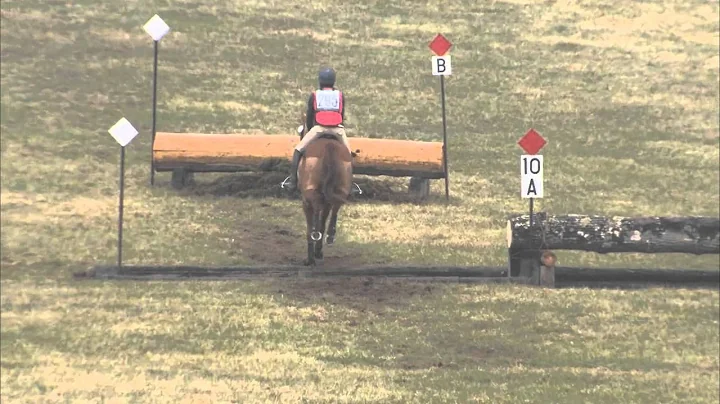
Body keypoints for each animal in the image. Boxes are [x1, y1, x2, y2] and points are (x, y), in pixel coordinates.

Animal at [296, 118, 354, 266]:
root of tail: (329, 147)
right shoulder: (327, 202)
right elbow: (323, 221)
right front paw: (318, 251)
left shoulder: (305, 201)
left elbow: (311, 225)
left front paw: (311, 257)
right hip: (340, 189)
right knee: (335, 207)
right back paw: (330, 235)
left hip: (311, 196)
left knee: (316, 211)